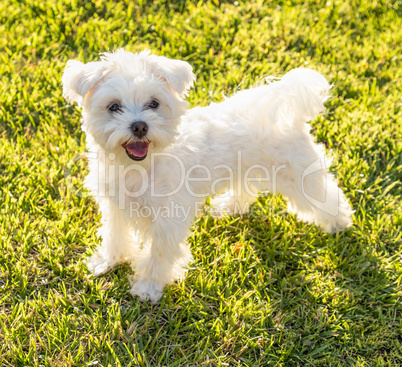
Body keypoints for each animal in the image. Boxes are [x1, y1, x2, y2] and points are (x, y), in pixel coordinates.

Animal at [61, 49, 354, 302]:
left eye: (154, 103)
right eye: (114, 107)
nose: (140, 126)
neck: (141, 167)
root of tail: (284, 106)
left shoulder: (169, 219)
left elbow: (158, 254)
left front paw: (148, 286)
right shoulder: (115, 206)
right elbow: (114, 235)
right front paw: (107, 261)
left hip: (300, 175)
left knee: (326, 195)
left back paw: (339, 223)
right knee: (246, 189)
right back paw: (229, 207)